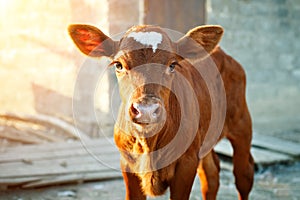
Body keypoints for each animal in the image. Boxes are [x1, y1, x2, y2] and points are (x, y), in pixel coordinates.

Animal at [69, 24, 254, 199]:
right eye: (118, 65)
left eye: (172, 65)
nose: (146, 110)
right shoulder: (127, 162)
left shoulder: (187, 162)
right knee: (211, 174)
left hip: (242, 124)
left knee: (244, 175)